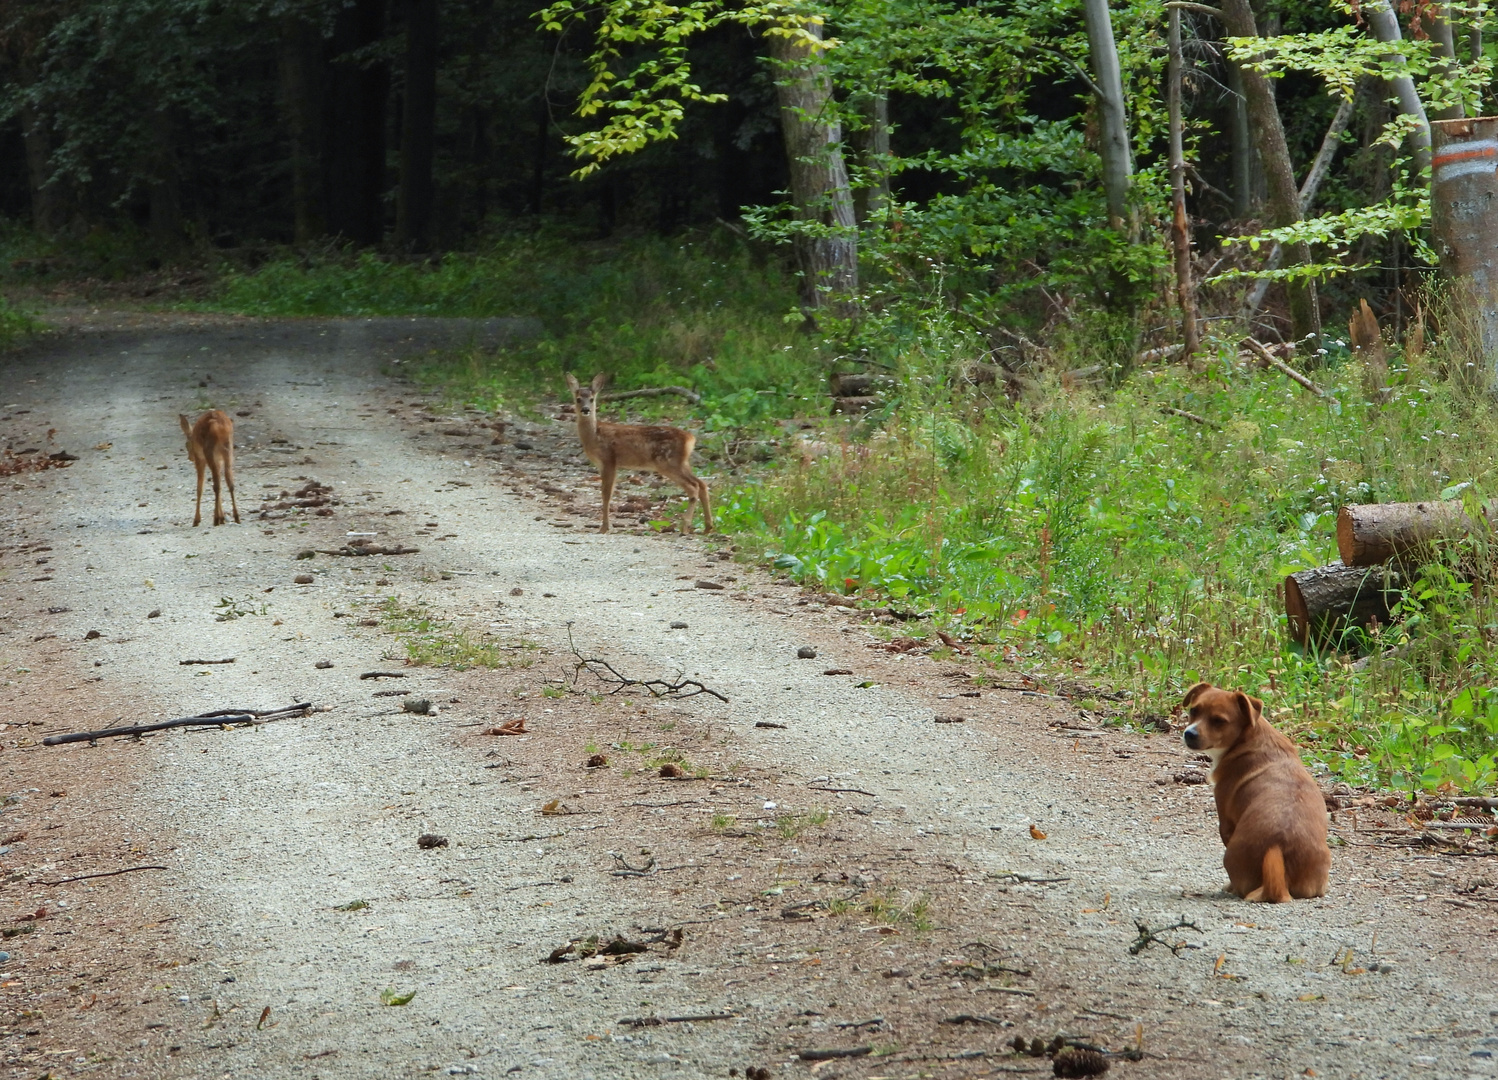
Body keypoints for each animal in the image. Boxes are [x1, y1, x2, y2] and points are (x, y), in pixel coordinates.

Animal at [1186, 683, 1330, 898]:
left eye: (1219, 721)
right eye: (1193, 710)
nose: (1189, 733)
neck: (1247, 739)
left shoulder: (1226, 822)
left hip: (1231, 854)